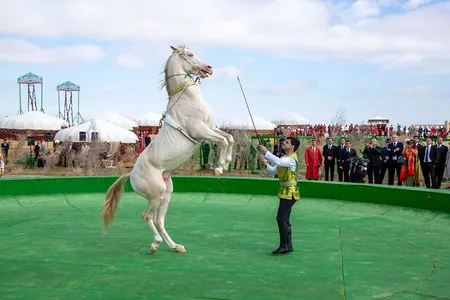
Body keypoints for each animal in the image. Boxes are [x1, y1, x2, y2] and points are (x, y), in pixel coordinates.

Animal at [101, 45, 236, 253]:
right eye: (190, 54)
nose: (209, 68)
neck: (187, 98)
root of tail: (131, 174)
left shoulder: (209, 128)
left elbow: (229, 138)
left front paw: (225, 164)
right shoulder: (200, 131)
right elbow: (223, 141)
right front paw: (220, 167)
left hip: (166, 194)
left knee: (159, 220)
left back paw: (175, 246)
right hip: (156, 195)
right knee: (147, 216)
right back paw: (155, 244)